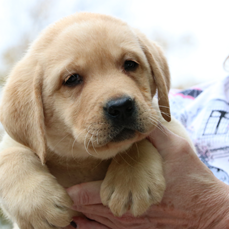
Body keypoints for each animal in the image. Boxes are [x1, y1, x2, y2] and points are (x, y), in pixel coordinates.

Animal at [0, 13, 194, 229]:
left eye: (130, 64)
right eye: (72, 79)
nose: (121, 106)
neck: (84, 159)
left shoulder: (169, 124)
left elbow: (138, 141)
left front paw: (131, 182)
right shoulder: (21, 141)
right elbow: (12, 155)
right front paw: (38, 205)